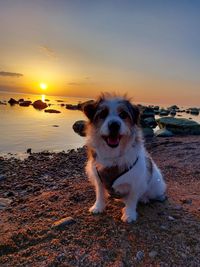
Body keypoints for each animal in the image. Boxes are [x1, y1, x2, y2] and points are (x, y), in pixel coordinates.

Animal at [82, 94, 166, 224]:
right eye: (103, 114)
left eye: (123, 115)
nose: (114, 125)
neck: (113, 155)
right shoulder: (99, 178)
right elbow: (100, 194)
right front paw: (98, 207)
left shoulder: (136, 182)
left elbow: (132, 199)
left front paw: (129, 214)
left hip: (155, 186)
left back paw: (144, 198)